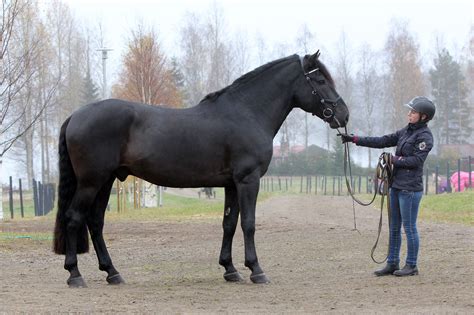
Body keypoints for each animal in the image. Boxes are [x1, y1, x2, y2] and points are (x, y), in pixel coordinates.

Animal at [52, 50, 348, 288]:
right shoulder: (248, 181)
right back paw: (75, 275)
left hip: (106, 181)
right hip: (91, 182)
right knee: (74, 218)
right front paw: (256, 270)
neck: (246, 113)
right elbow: (249, 224)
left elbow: (229, 223)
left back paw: (112, 273)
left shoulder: (231, 184)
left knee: (95, 222)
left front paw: (230, 270)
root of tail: (75, 115)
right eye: (320, 81)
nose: (344, 115)